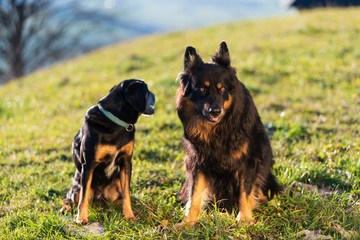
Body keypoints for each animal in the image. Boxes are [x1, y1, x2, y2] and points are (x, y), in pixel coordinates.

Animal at [62, 79, 155, 224]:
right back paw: (66, 209)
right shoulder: (88, 164)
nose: (154, 94)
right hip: (77, 188)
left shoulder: (126, 162)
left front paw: (129, 215)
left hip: (116, 181)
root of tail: (101, 198)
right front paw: (81, 219)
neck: (116, 122)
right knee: (69, 199)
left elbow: (127, 194)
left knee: (119, 197)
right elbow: (83, 199)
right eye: (146, 90)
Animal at [175, 42, 282, 228]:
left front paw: (244, 219)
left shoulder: (250, 160)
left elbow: (245, 192)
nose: (215, 111)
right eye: (202, 89)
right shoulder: (198, 163)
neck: (219, 129)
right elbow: (194, 196)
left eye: (222, 89)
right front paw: (187, 223)